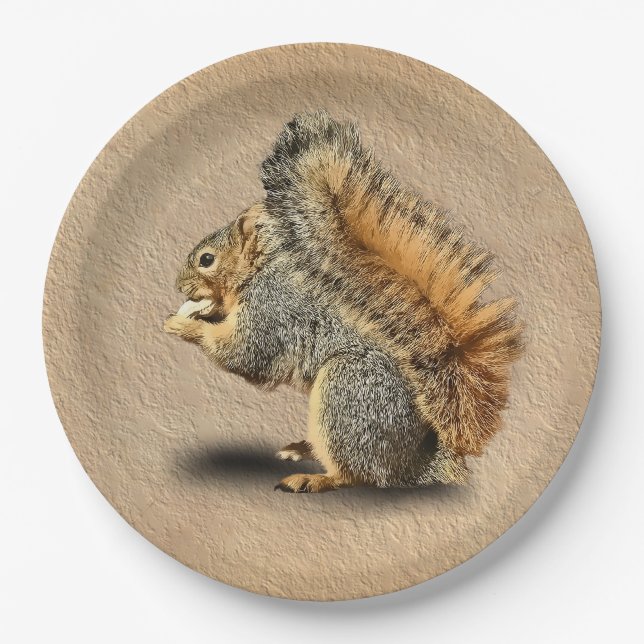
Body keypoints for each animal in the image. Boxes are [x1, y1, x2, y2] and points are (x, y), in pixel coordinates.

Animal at [164, 110, 523, 493]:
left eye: (206, 259)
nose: (179, 284)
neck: (258, 273)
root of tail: (418, 464)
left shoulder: (272, 311)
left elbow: (244, 353)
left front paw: (183, 324)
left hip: (346, 391)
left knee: (355, 473)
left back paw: (313, 478)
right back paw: (301, 448)